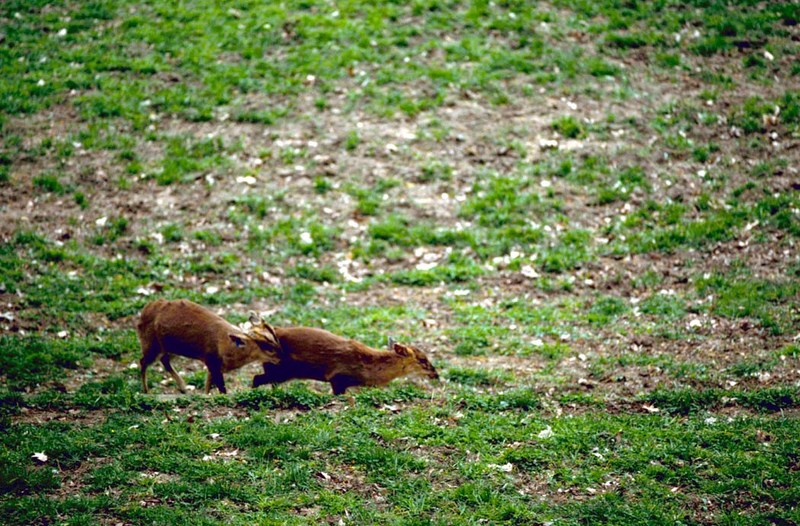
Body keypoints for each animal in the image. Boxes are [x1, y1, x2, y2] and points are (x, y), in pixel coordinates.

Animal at [139, 302, 282, 396]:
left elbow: (208, 386)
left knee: (164, 360)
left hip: (169, 347)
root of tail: (145, 311)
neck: (226, 347)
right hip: (151, 344)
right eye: (267, 347)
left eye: (276, 339)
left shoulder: (213, 366)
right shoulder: (211, 361)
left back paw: (183, 387)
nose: (281, 358)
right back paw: (146, 391)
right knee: (143, 361)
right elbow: (221, 389)